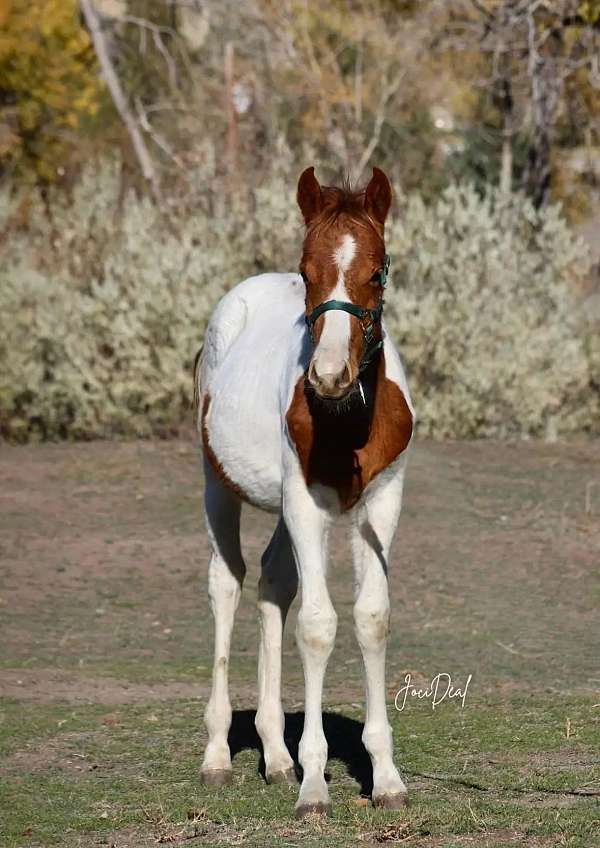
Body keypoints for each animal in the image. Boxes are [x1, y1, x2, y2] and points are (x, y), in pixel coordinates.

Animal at [195, 166, 414, 816]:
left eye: (378, 269)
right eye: (306, 270)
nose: (329, 375)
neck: (346, 418)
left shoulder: (383, 503)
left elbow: (371, 617)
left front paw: (386, 777)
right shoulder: (306, 504)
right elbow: (318, 624)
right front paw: (316, 785)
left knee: (272, 581)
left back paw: (275, 755)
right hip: (220, 484)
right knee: (227, 582)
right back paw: (218, 756)